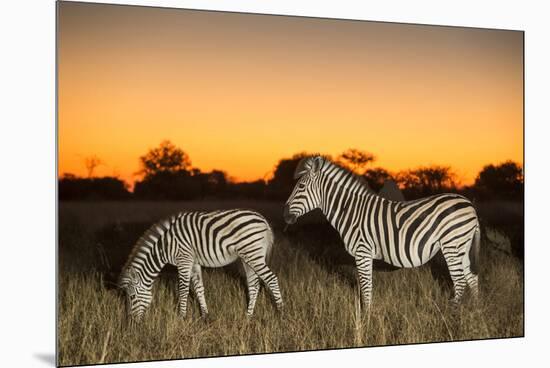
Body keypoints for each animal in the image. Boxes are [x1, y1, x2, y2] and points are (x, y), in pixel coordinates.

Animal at [120, 208, 284, 324]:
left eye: (132, 297)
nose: (132, 323)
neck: (165, 246)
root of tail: (263, 220)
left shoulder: (184, 259)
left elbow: (183, 290)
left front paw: (181, 318)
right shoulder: (194, 262)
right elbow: (199, 288)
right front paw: (205, 317)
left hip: (253, 254)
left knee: (271, 278)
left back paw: (281, 314)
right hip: (248, 257)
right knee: (253, 284)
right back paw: (248, 316)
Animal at [284, 157, 484, 310]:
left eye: (301, 187)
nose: (285, 216)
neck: (351, 211)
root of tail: (470, 205)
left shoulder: (362, 252)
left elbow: (366, 289)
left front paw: (366, 320)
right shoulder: (364, 254)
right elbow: (367, 288)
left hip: (452, 244)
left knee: (460, 281)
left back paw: (451, 315)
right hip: (462, 246)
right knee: (471, 278)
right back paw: (474, 312)